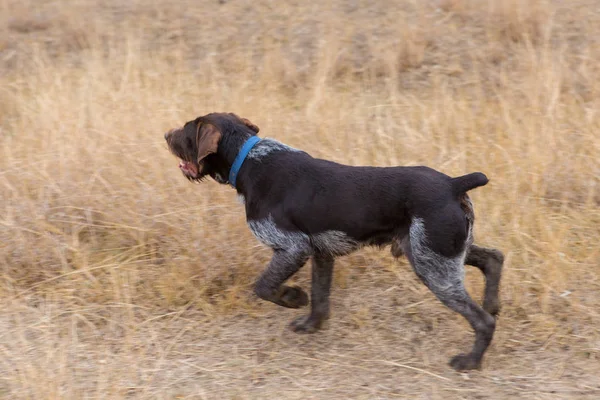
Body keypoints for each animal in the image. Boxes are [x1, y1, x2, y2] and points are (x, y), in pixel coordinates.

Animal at [163, 111, 502, 370]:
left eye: (188, 130)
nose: (166, 134)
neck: (249, 160)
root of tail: (452, 184)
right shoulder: (321, 252)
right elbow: (320, 296)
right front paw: (311, 324)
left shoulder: (293, 247)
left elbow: (264, 287)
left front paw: (293, 298)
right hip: (440, 251)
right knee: (494, 258)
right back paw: (493, 303)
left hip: (433, 264)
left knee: (483, 319)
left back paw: (471, 360)